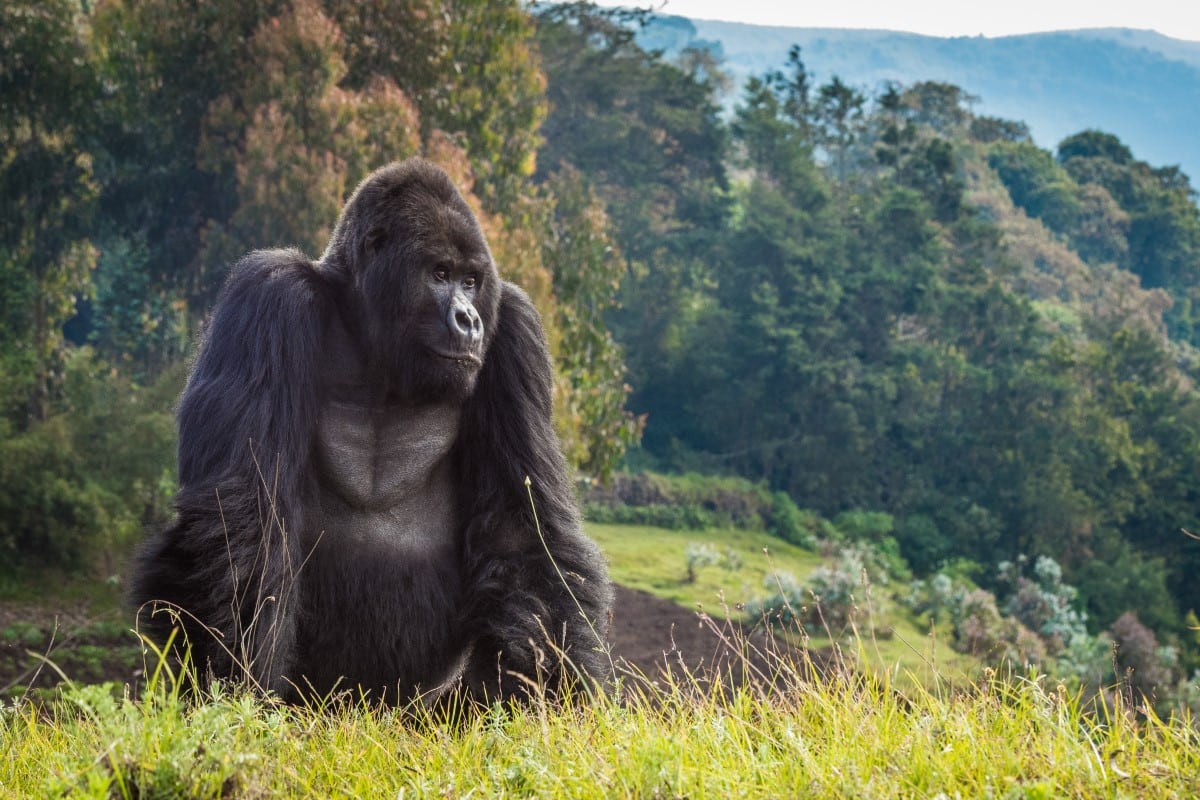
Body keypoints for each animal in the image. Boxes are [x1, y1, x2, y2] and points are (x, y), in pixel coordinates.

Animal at [133, 158, 609, 705]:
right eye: (439, 274)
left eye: (471, 281)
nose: (468, 320)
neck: (366, 328)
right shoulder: (267, 295)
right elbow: (246, 511)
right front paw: (235, 682)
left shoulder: (514, 330)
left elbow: (522, 531)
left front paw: (552, 695)